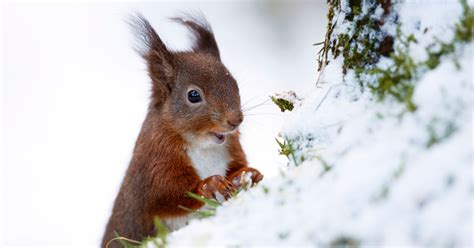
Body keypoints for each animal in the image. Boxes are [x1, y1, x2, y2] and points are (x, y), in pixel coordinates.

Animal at [101, 14, 262, 248]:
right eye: (193, 95)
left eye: (235, 84)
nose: (236, 120)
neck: (204, 146)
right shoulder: (156, 162)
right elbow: (166, 195)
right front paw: (209, 184)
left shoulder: (232, 147)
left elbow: (238, 167)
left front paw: (247, 173)